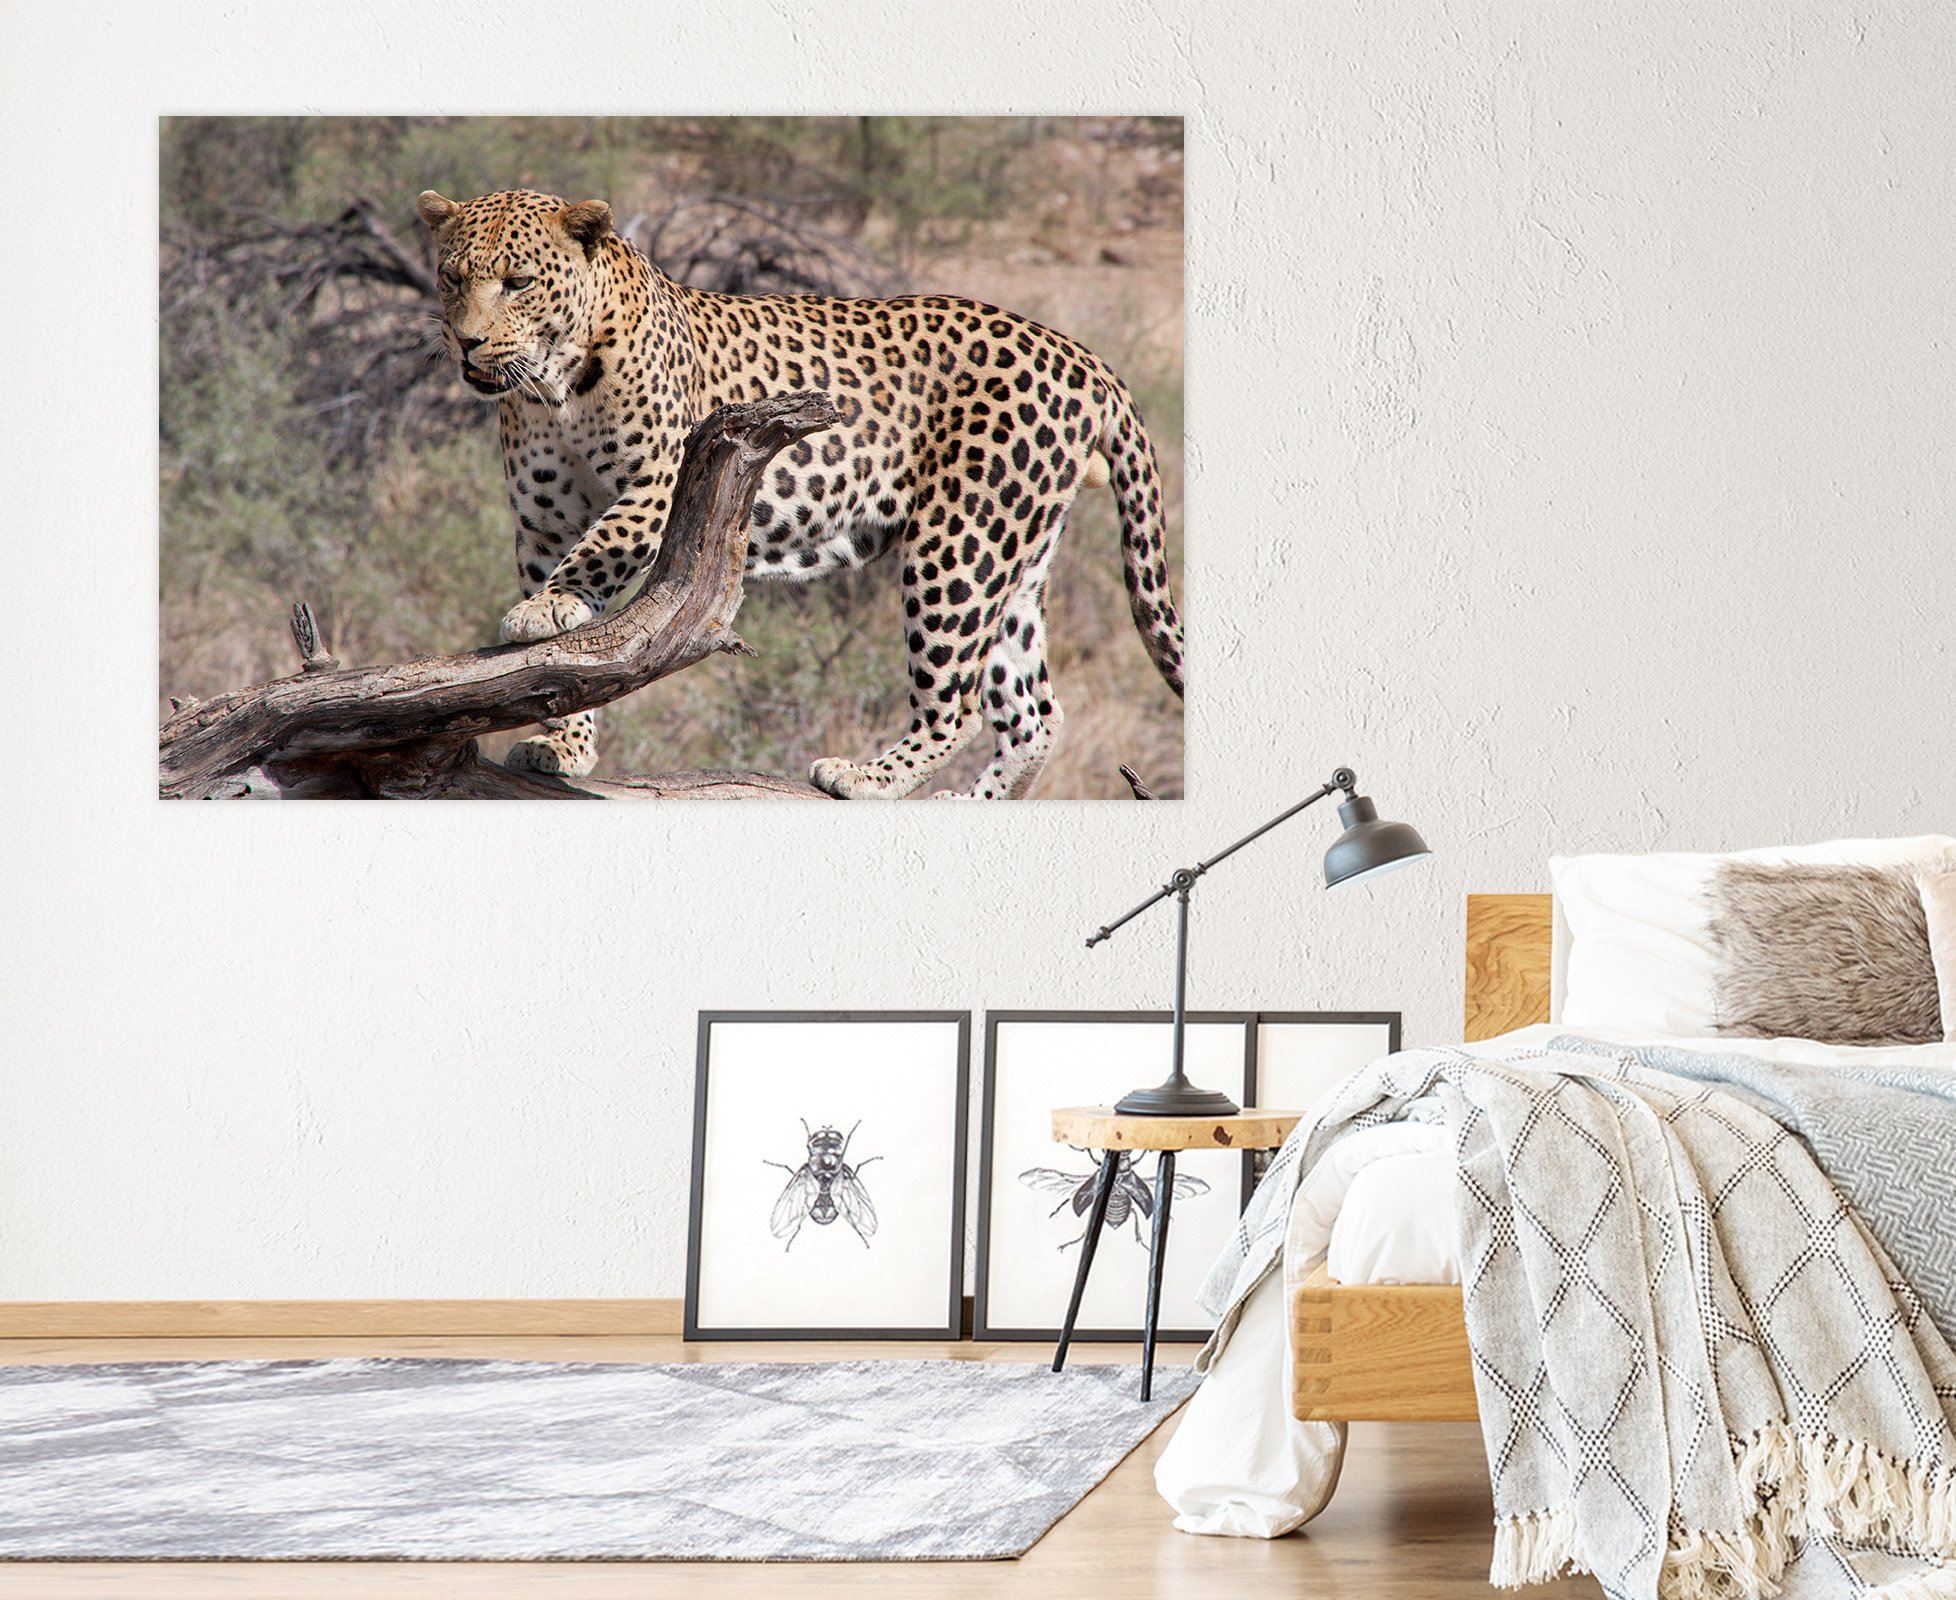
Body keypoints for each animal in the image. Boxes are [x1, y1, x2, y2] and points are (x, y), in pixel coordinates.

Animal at [416, 187, 1184, 799]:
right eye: (451, 278)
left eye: (517, 282)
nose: (467, 342)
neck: (553, 389)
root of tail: (1082, 355)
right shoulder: (543, 523)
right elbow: (568, 659)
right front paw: (564, 743)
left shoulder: (662, 480)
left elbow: (601, 549)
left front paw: (543, 609)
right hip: (1015, 555)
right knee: (1034, 714)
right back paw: (967, 802)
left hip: (962, 543)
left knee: (960, 702)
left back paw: (868, 777)